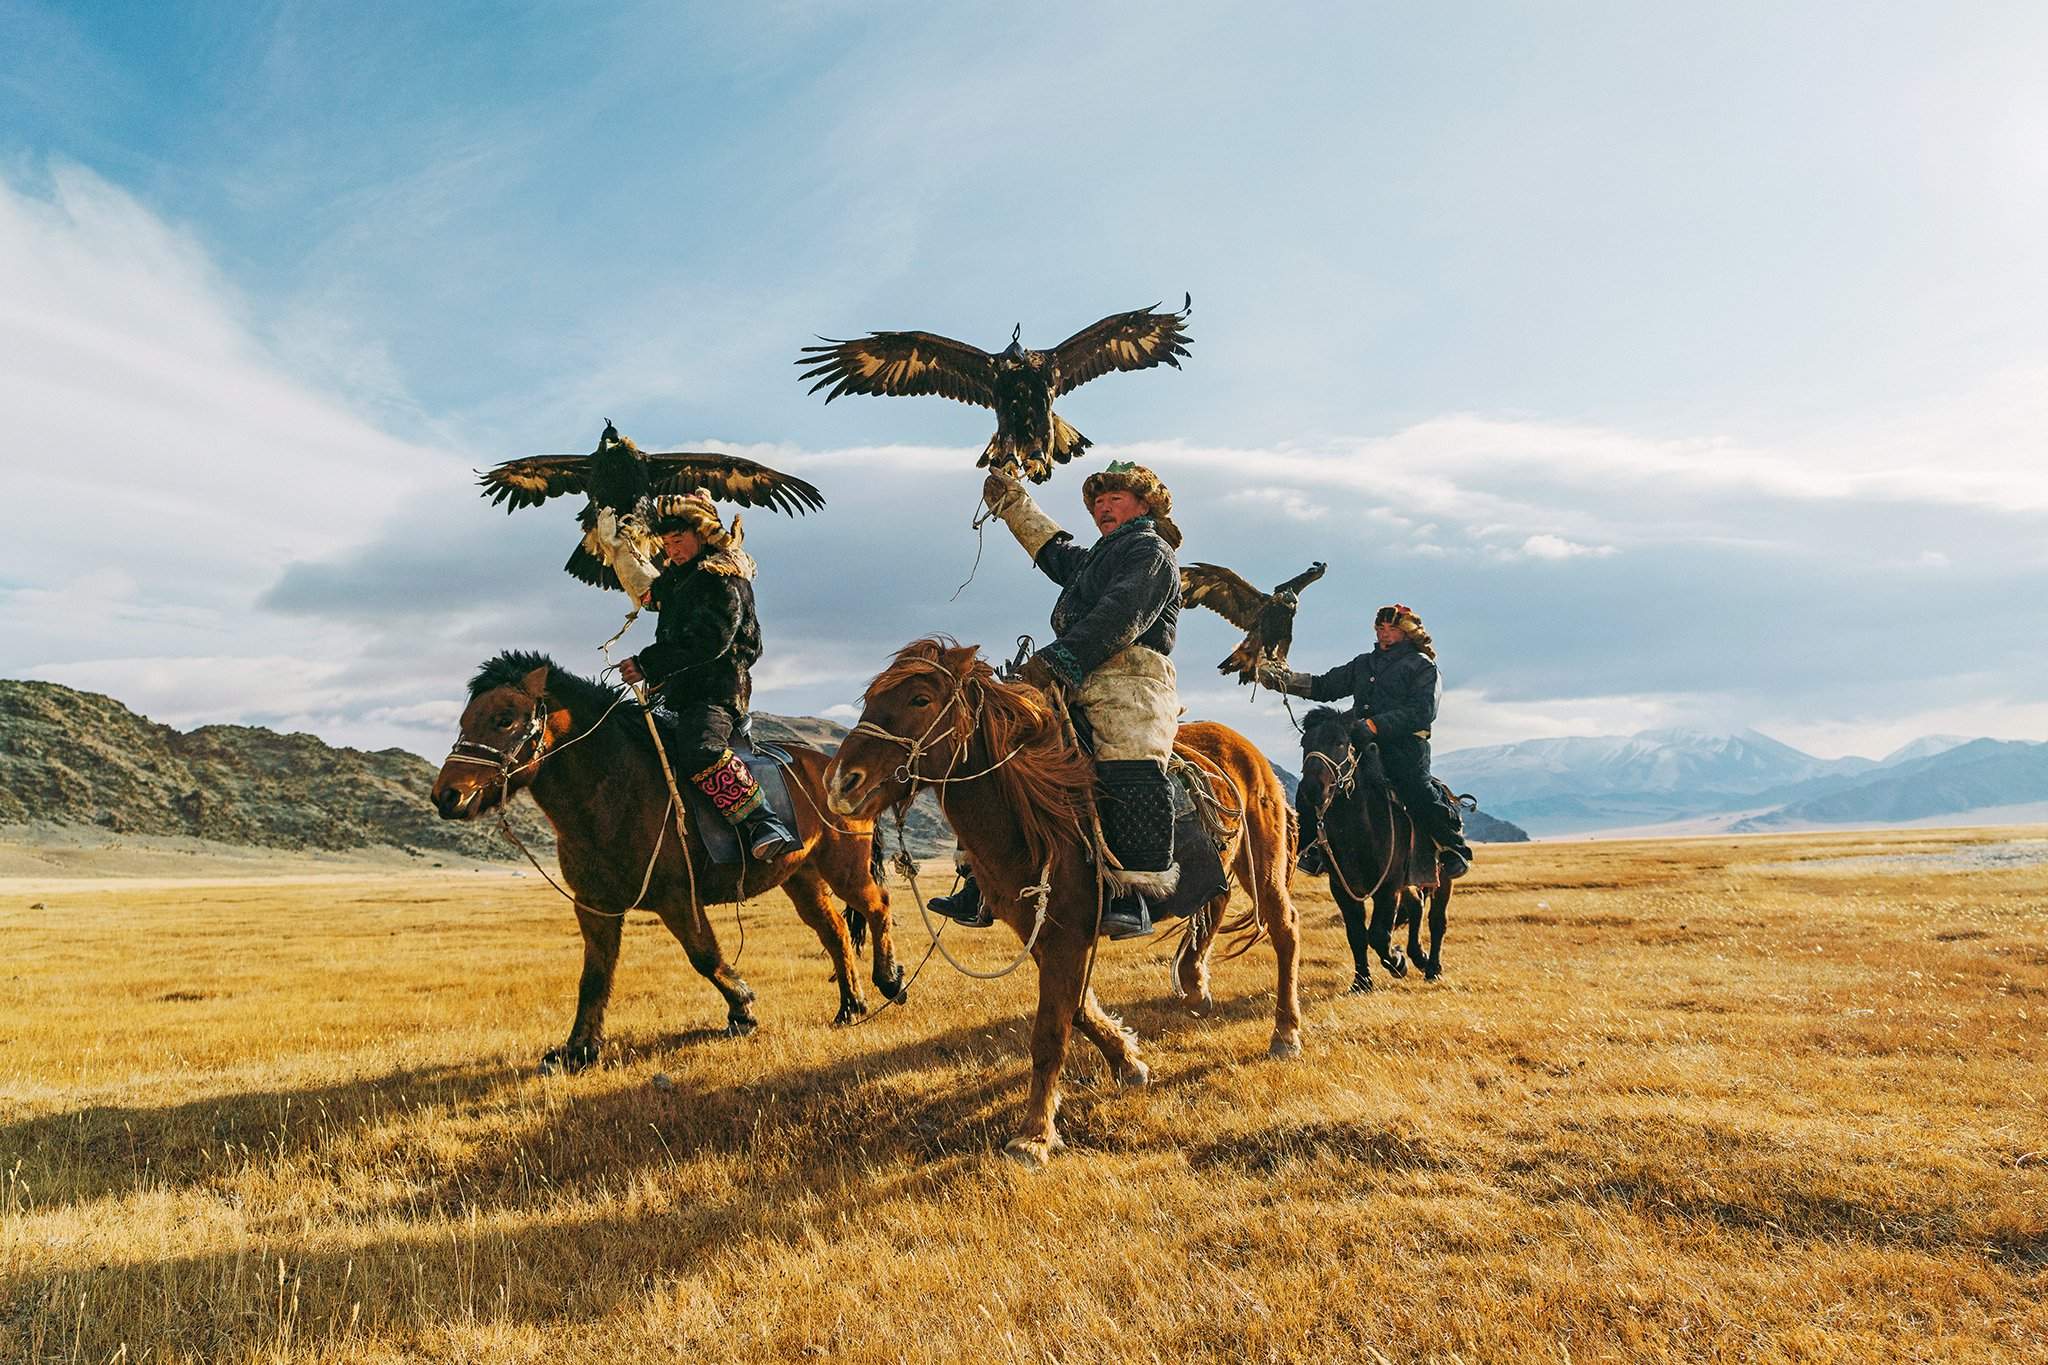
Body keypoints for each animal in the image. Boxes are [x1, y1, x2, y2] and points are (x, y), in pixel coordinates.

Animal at [428, 650, 901, 1064]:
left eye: (504, 719)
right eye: (465, 720)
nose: (447, 796)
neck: (613, 789)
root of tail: (836, 769)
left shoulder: (678, 897)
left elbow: (705, 956)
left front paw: (743, 1009)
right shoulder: (594, 906)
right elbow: (593, 976)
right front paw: (577, 1051)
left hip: (844, 867)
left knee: (877, 906)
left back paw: (890, 981)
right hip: (801, 876)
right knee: (834, 930)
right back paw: (850, 1006)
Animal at [819, 638, 1286, 1162]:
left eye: (920, 699)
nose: (840, 783)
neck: (1032, 813)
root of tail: (1240, 744)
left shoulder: (1069, 932)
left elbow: (1049, 1032)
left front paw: (1034, 1134)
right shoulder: (1039, 930)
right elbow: (1077, 1008)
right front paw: (1128, 1063)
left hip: (1263, 857)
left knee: (1284, 928)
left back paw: (1285, 1034)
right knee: (1213, 905)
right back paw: (1194, 984)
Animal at [1294, 703, 1458, 994]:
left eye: (1340, 742)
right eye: (1305, 743)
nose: (1312, 790)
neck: (1359, 829)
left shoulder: (1388, 886)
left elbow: (1379, 935)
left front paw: (1397, 962)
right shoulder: (1341, 887)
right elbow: (1357, 935)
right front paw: (1361, 982)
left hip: (1442, 879)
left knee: (1437, 920)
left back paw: (1432, 968)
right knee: (1417, 906)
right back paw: (1419, 956)